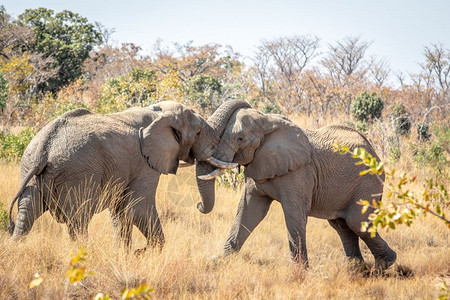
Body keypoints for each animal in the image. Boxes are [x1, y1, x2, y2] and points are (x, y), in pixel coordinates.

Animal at [7, 102, 232, 252]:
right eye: (198, 132)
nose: (198, 205)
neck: (159, 111)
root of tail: (45, 146)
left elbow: (120, 210)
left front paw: (124, 252)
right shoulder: (145, 161)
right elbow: (139, 207)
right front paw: (143, 253)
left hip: (29, 169)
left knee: (27, 213)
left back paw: (17, 247)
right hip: (78, 174)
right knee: (79, 219)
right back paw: (82, 254)